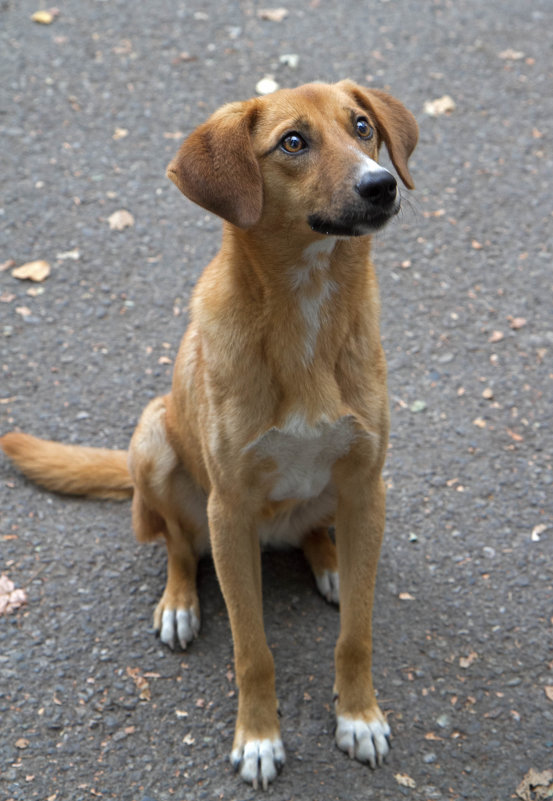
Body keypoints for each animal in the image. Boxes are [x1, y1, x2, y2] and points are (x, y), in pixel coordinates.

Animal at [0, 81, 416, 788]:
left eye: (362, 127)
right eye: (293, 142)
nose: (381, 184)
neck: (306, 310)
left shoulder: (367, 487)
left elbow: (356, 635)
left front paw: (358, 716)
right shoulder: (231, 510)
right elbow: (253, 650)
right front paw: (259, 738)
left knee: (314, 531)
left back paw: (331, 564)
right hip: (154, 443)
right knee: (174, 542)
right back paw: (179, 602)